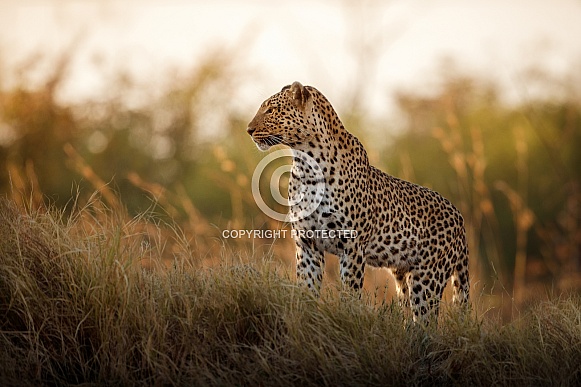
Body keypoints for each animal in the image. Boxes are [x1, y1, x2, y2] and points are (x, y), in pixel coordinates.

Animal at [247, 81, 468, 322]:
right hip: (403, 276)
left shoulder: (352, 246)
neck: (306, 162)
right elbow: (307, 290)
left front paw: (346, 318)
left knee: (426, 321)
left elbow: (350, 294)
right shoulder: (307, 244)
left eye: (271, 110)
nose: (249, 130)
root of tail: (459, 217)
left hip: (428, 278)